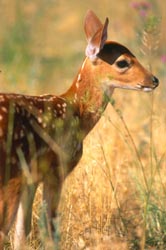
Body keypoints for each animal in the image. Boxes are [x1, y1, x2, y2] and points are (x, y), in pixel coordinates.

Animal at [0, 9, 159, 248]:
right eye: (123, 62)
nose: (154, 80)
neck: (77, 111)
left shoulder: (31, 178)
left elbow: (21, 234)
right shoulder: (56, 169)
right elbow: (49, 229)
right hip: (10, 173)